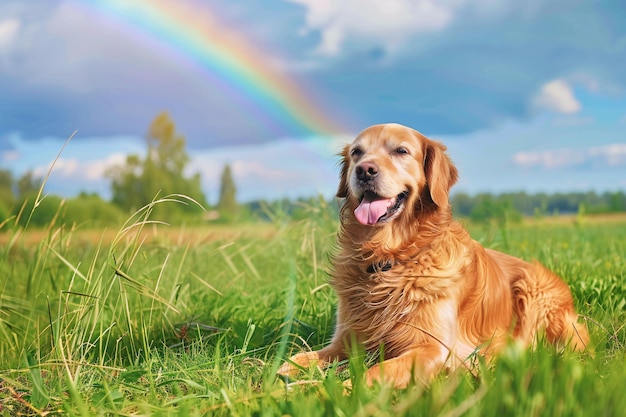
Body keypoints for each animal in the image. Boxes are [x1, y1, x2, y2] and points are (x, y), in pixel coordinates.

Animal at [276, 123, 584, 386]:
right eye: (356, 153)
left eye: (401, 151)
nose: (364, 170)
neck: (390, 258)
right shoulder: (345, 339)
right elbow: (297, 359)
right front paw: (278, 380)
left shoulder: (434, 347)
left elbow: (375, 372)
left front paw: (332, 391)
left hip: (533, 289)